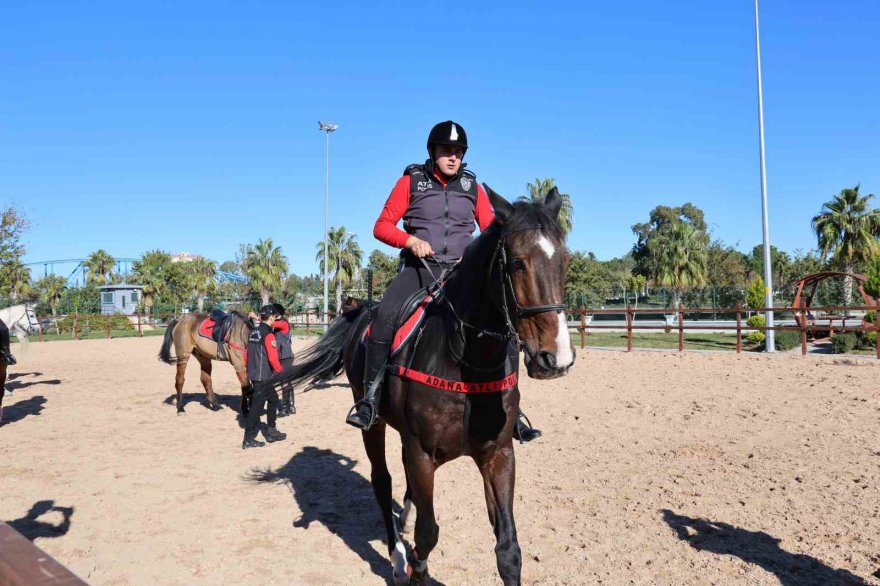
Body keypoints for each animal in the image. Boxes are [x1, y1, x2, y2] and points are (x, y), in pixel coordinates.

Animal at [278, 185, 576, 580]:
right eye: (516, 263)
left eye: (565, 262)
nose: (555, 358)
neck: (465, 362)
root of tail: (363, 311)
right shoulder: (421, 453)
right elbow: (428, 535)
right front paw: (412, 564)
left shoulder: (498, 454)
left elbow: (508, 550)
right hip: (373, 423)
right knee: (382, 479)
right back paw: (396, 555)